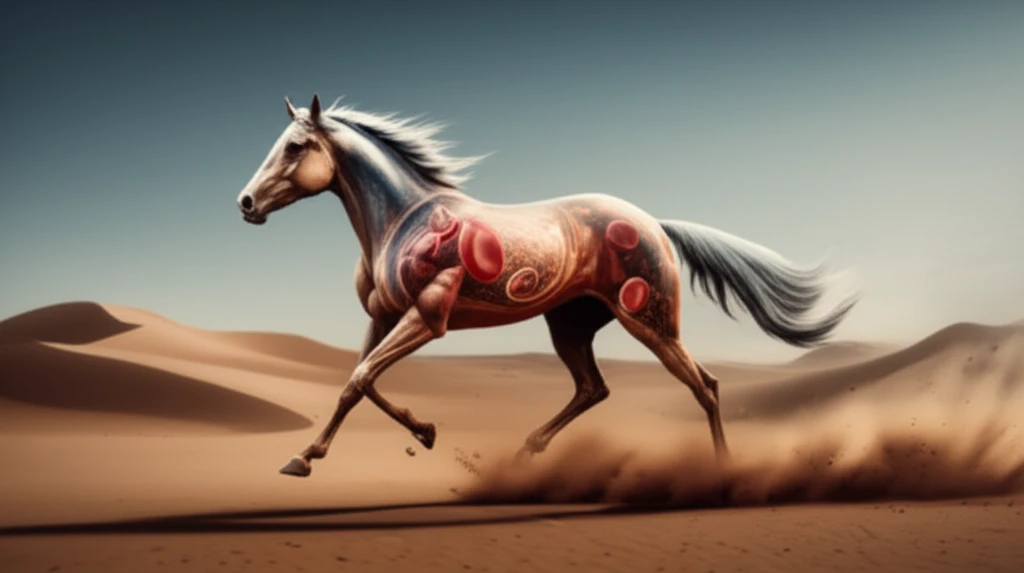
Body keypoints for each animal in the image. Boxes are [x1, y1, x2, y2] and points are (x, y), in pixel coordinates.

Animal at [235, 94, 858, 478]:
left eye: (295, 146)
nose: (245, 203)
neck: (402, 219)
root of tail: (655, 224)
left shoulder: (428, 317)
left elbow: (360, 377)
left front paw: (318, 455)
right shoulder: (384, 316)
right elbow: (358, 381)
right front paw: (401, 436)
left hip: (650, 321)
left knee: (704, 385)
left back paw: (724, 472)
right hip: (570, 324)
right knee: (593, 388)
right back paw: (525, 450)